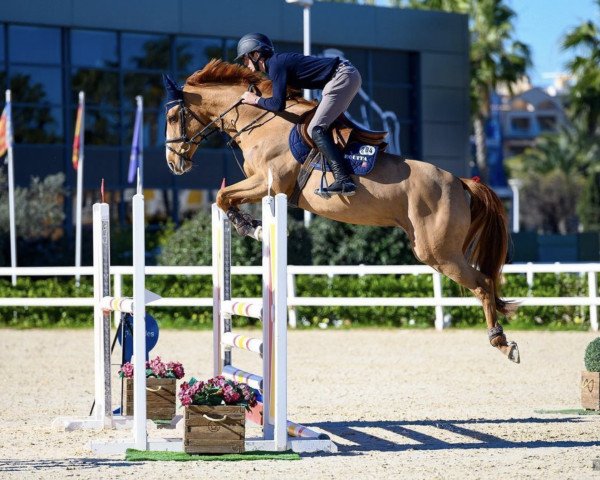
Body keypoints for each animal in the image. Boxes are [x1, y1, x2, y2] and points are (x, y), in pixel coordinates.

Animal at [164, 59, 520, 364]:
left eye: (171, 118)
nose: (173, 163)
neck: (259, 122)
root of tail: (461, 182)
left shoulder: (269, 182)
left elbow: (223, 195)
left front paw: (251, 226)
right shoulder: (260, 184)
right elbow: (225, 197)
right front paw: (249, 223)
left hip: (438, 251)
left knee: (483, 283)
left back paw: (502, 342)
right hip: (438, 250)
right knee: (485, 282)